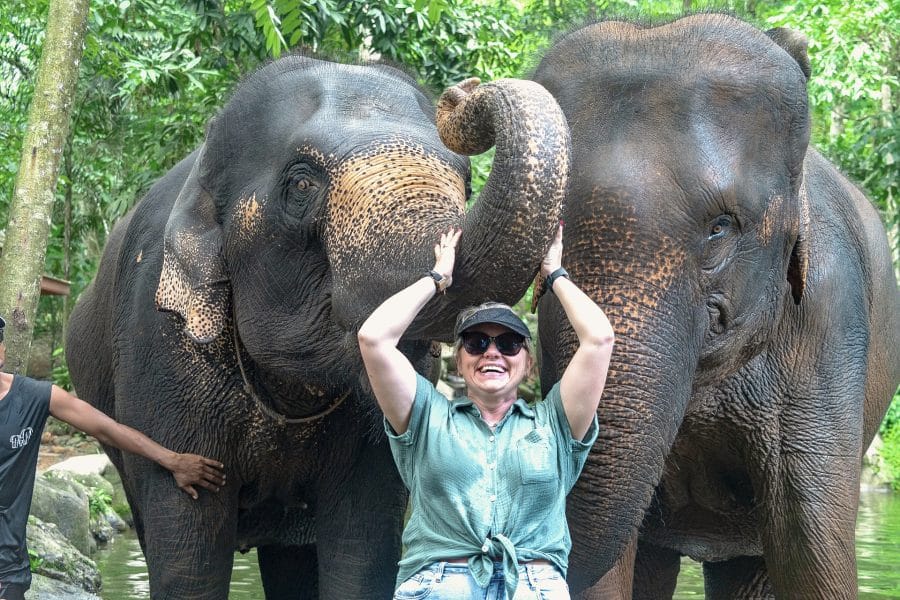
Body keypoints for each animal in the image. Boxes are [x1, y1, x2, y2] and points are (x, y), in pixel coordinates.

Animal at [65, 56, 570, 599]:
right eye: (302, 184)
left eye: (469, 185)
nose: (464, 91)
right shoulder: (159, 349)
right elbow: (187, 554)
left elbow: (362, 545)